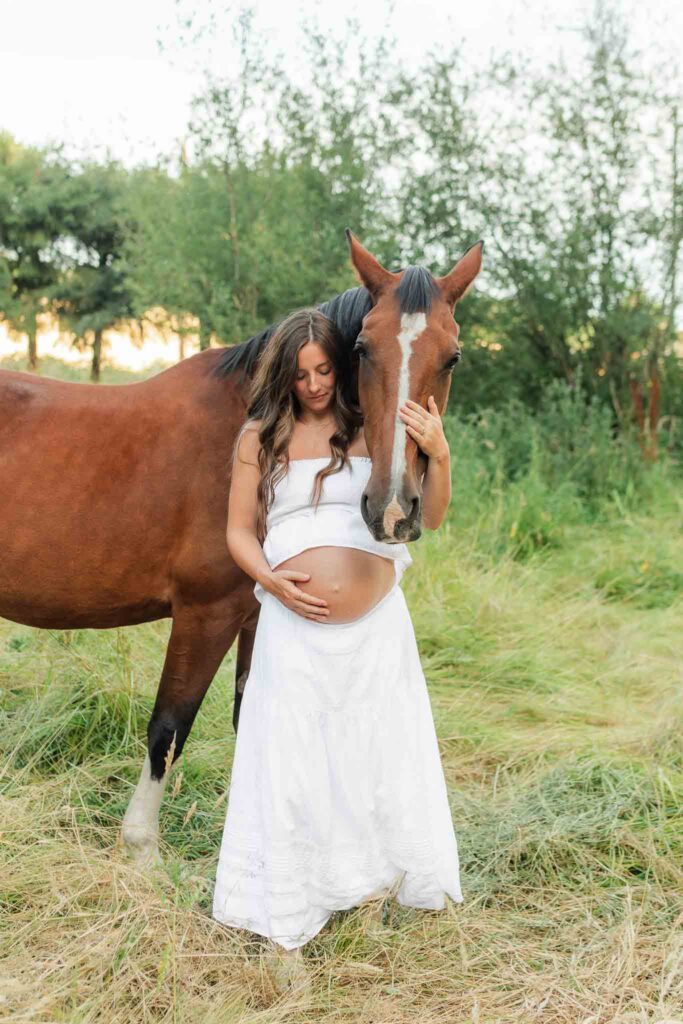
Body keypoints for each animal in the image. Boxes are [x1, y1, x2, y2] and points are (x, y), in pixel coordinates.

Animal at [0, 231, 483, 864]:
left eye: (452, 357)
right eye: (362, 349)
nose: (394, 511)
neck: (255, 418)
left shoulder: (260, 610)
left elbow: (248, 712)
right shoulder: (207, 613)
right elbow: (169, 725)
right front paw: (142, 848)